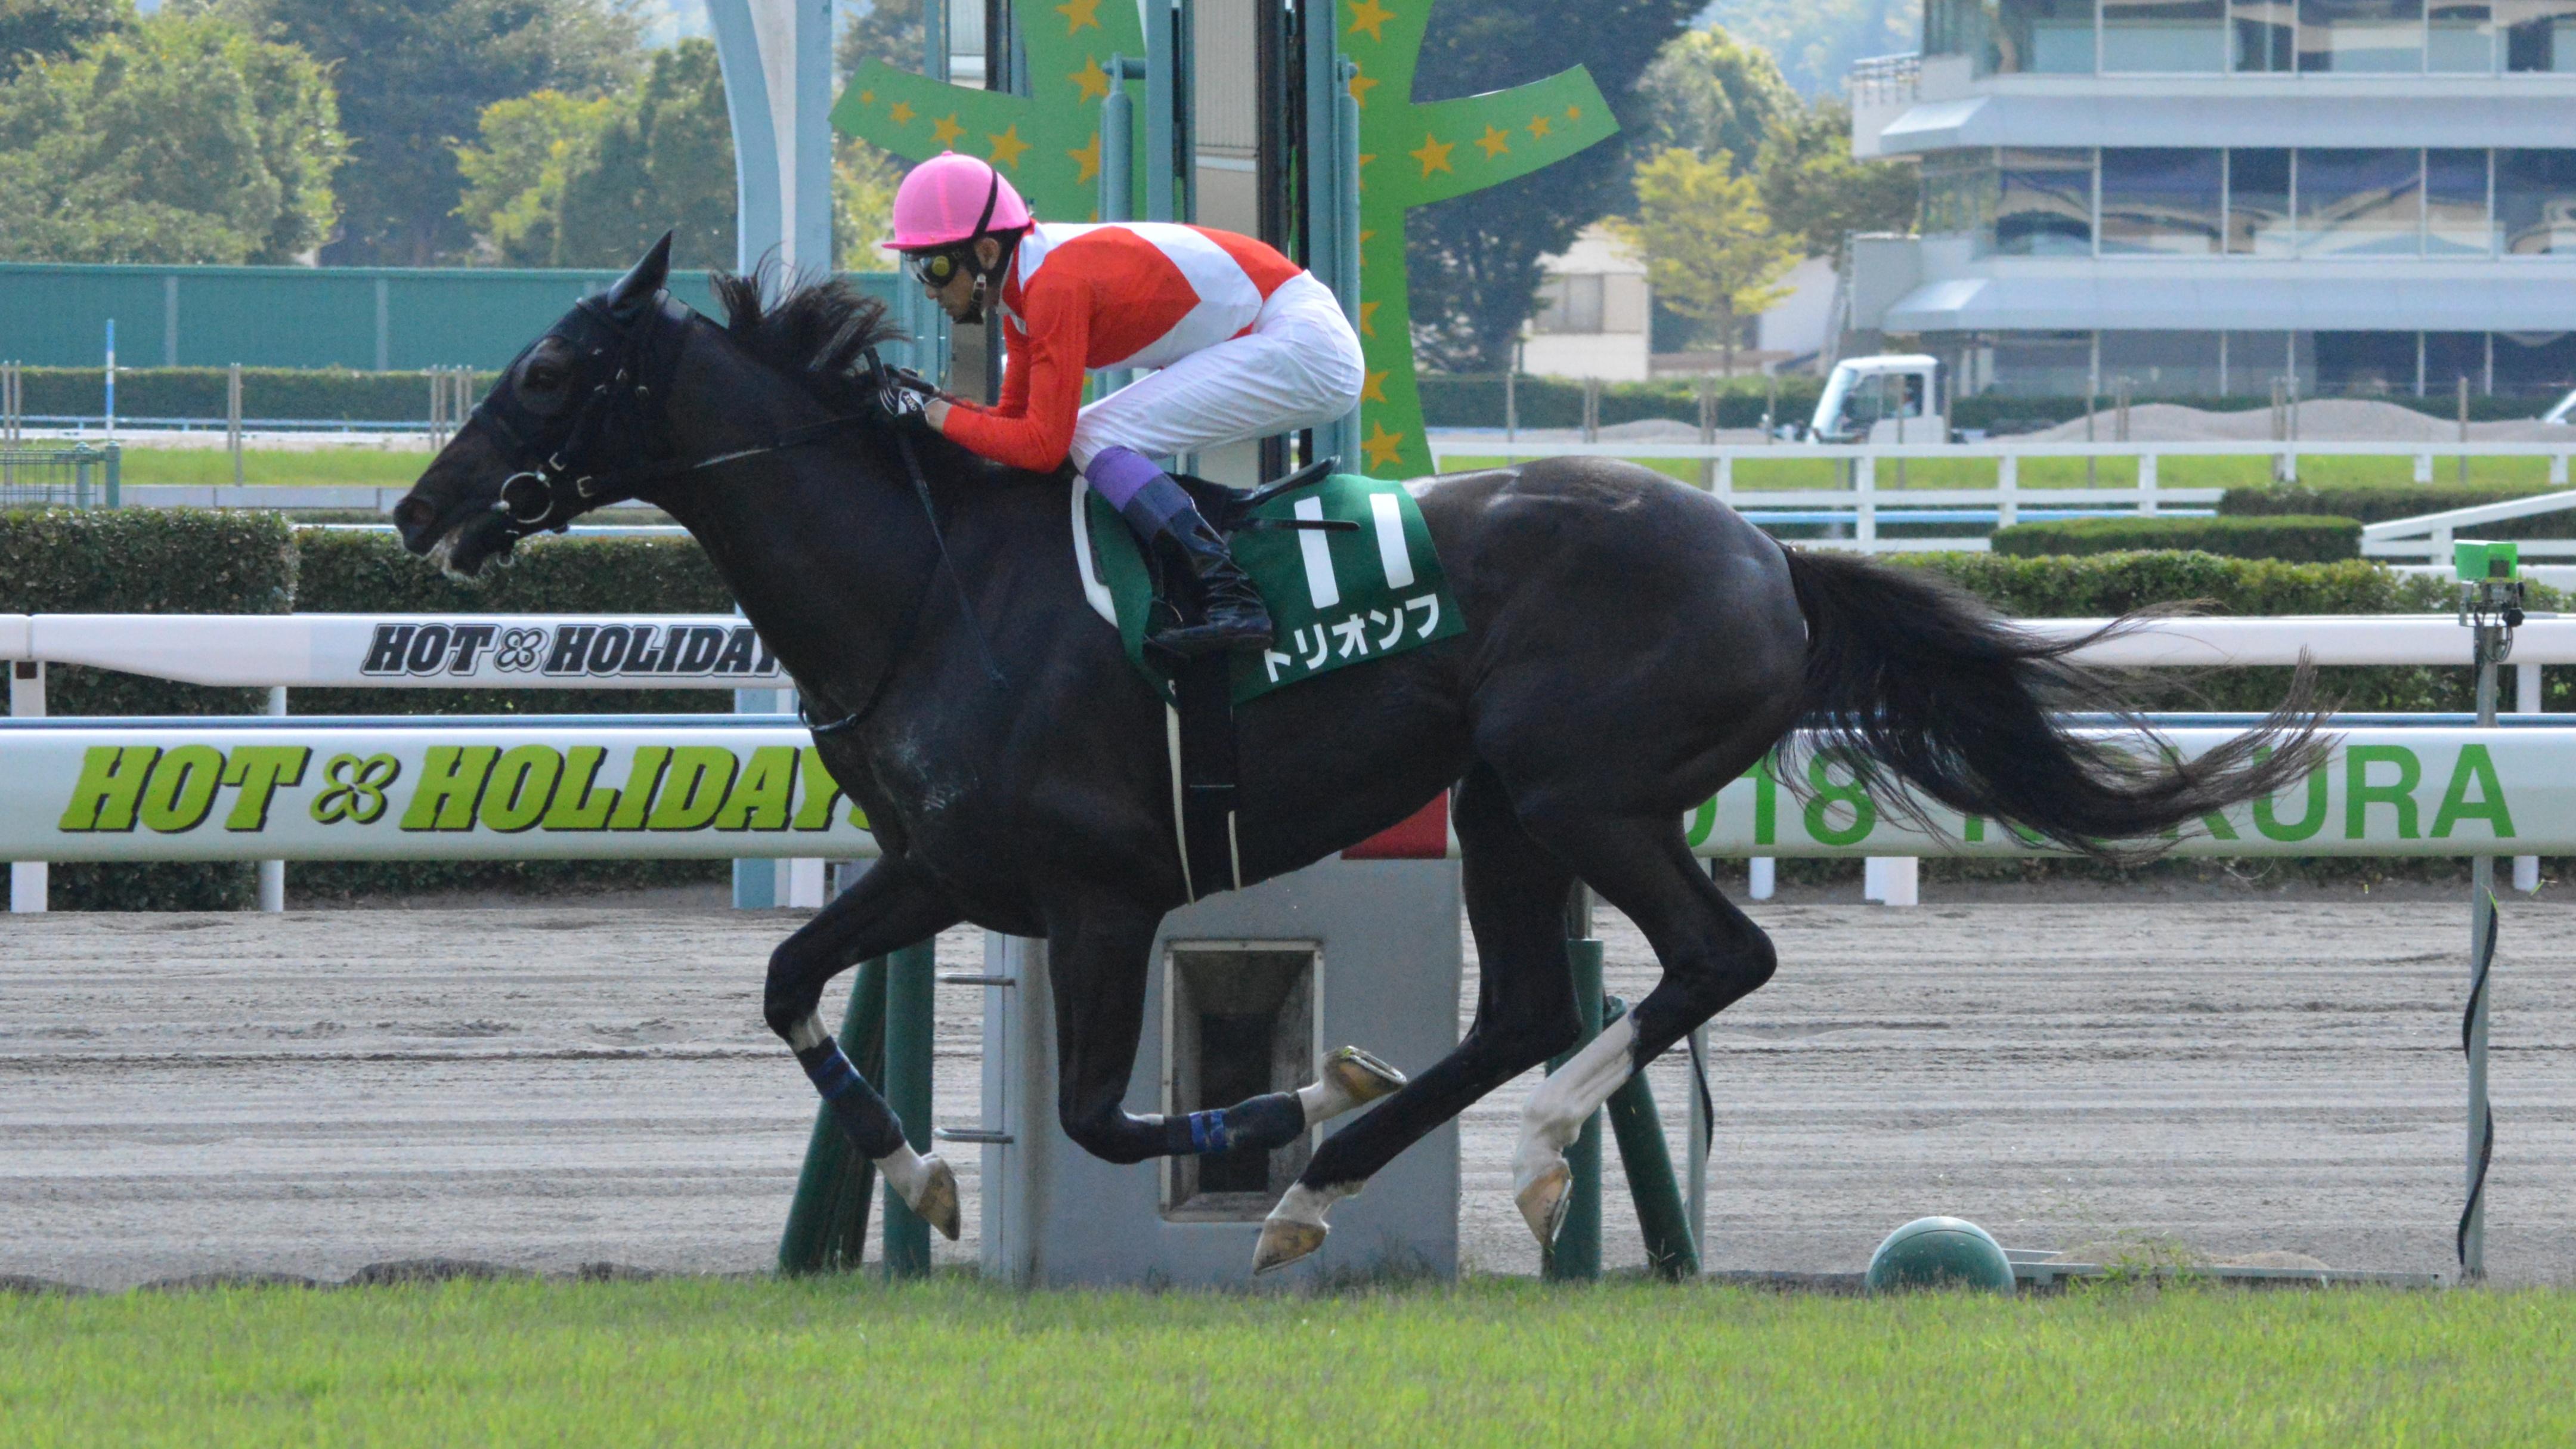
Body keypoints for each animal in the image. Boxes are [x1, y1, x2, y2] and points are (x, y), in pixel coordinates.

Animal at [392, 236, 2324, 1275]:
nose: (419, 514)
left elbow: (1099, 1117)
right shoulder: (946, 865)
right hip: (1501, 800)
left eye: (550, 373)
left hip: (1578, 789)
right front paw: (929, 1176)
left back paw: (1454, 1156)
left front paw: (1274, 1105)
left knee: (1706, 963)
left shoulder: (1099, 892)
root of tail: (1772, 556)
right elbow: (792, 978)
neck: (931, 586)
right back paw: (1364, 1169)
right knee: (1538, 1003)